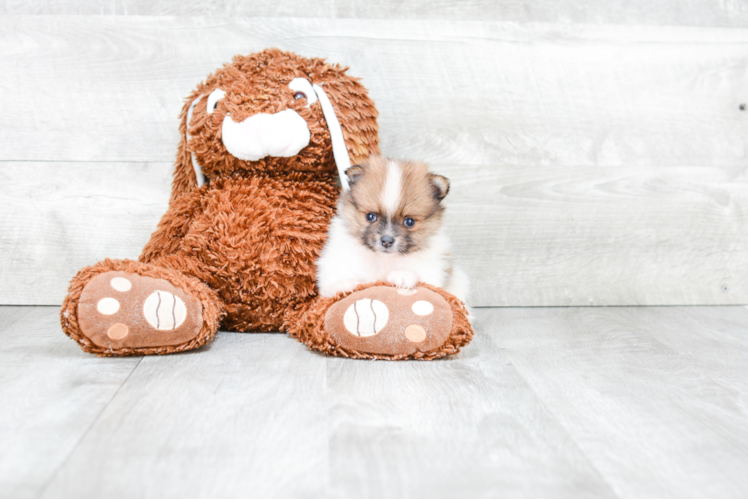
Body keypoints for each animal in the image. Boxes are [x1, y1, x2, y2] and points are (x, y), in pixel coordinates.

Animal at [316, 156, 468, 302]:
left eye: (409, 221)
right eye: (370, 216)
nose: (387, 241)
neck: (384, 259)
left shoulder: (433, 268)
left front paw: (402, 275)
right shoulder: (339, 256)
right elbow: (333, 277)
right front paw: (342, 285)